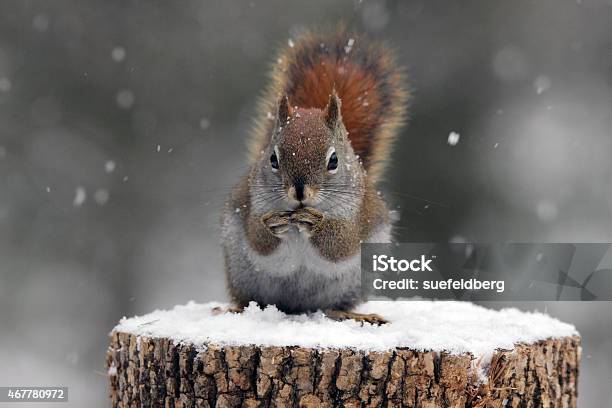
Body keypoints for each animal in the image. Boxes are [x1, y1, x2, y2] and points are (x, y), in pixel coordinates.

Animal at [219, 27, 406, 324]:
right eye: (273, 159)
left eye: (334, 160)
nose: (299, 192)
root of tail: (298, 307)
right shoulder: (250, 203)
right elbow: (257, 238)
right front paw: (271, 224)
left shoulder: (358, 215)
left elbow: (342, 244)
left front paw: (317, 224)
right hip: (241, 273)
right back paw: (236, 308)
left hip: (353, 282)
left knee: (336, 304)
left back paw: (353, 314)